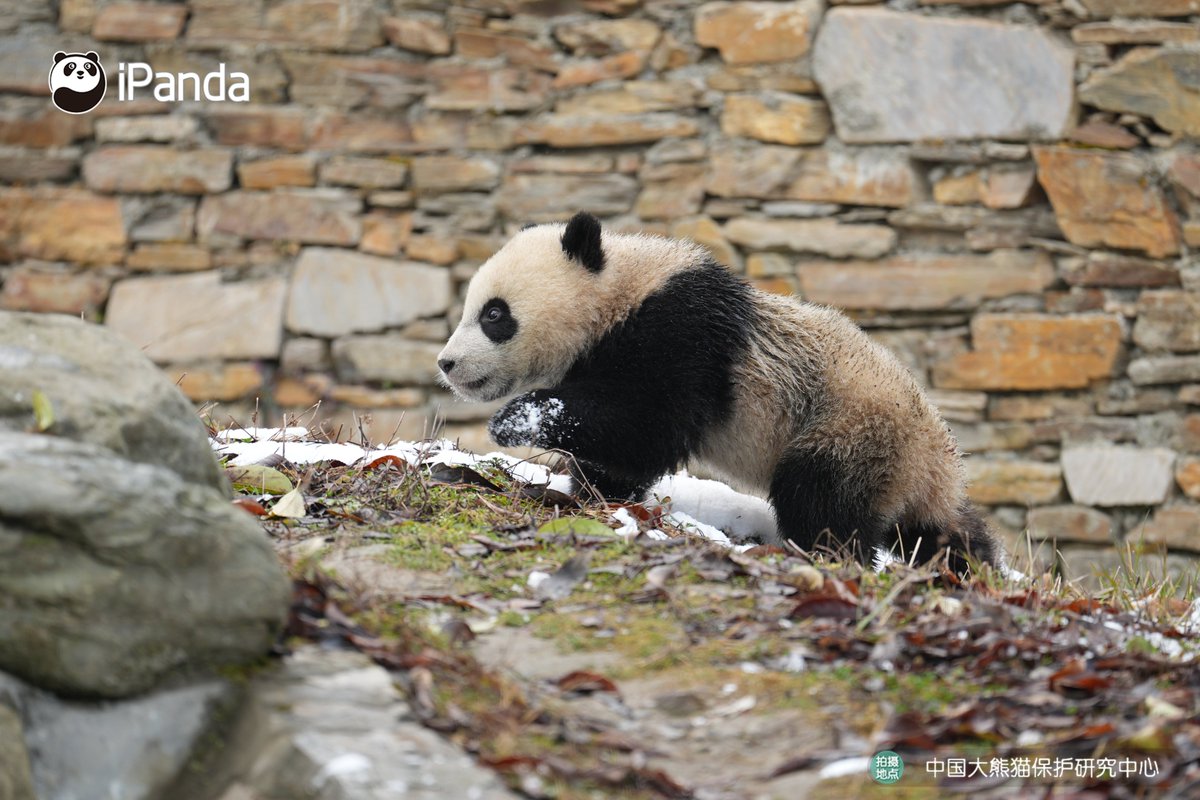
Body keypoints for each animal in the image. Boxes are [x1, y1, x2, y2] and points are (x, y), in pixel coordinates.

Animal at [438, 212, 1001, 572]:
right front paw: (591, 491)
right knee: (941, 529)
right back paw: (972, 566)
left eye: (494, 315)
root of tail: (933, 457)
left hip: (851, 426)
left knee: (820, 497)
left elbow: (648, 425)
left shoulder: (682, 335)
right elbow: (625, 454)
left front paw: (518, 420)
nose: (447, 364)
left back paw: (828, 554)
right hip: (904, 465)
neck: (618, 294)